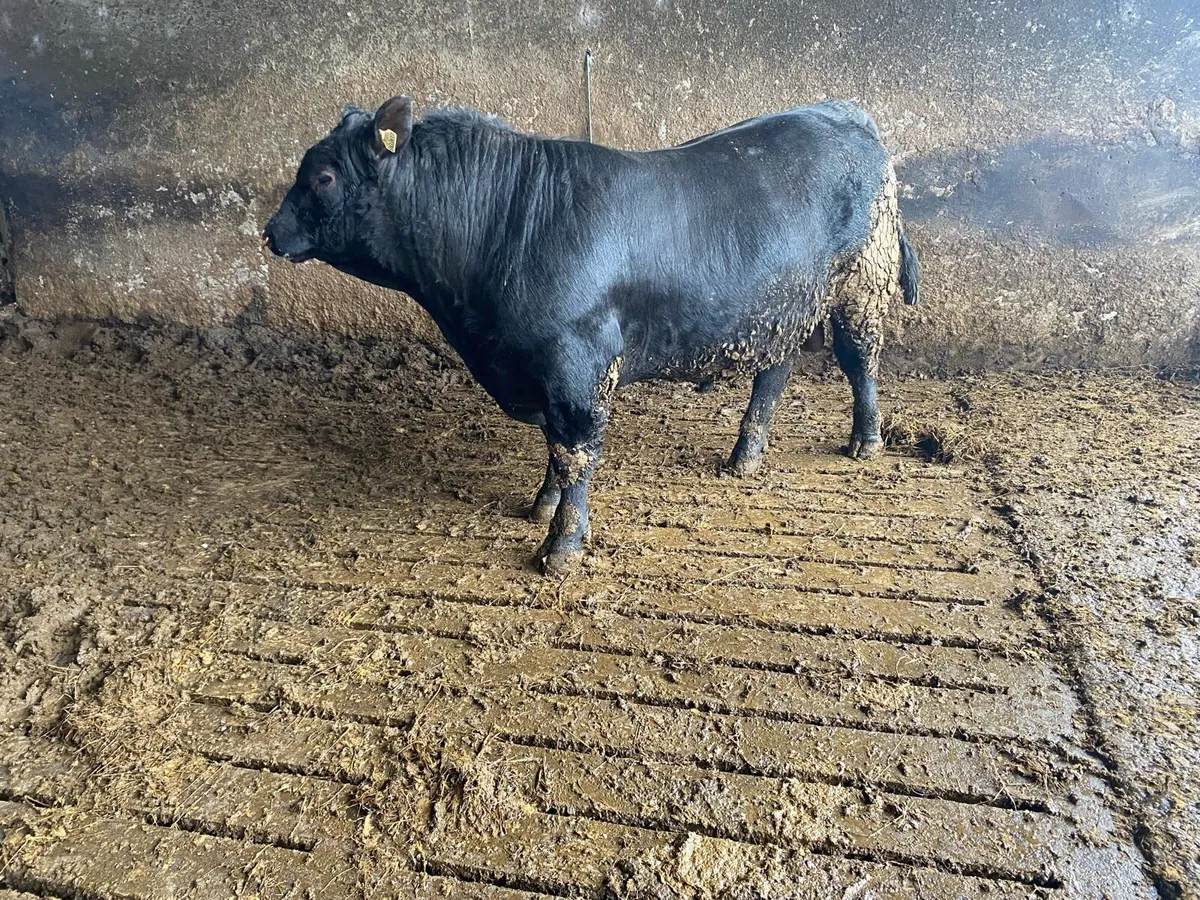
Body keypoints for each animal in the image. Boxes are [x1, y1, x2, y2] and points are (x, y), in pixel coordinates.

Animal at [262, 95, 921, 574]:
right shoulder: (539, 367)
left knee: (861, 359)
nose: (270, 231)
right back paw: (745, 455)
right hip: (778, 308)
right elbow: (554, 447)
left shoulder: (577, 362)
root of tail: (840, 110)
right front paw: (542, 503)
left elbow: (575, 449)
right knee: (775, 371)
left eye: (324, 177)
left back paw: (866, 440)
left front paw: (562, 545)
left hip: (862, 283)